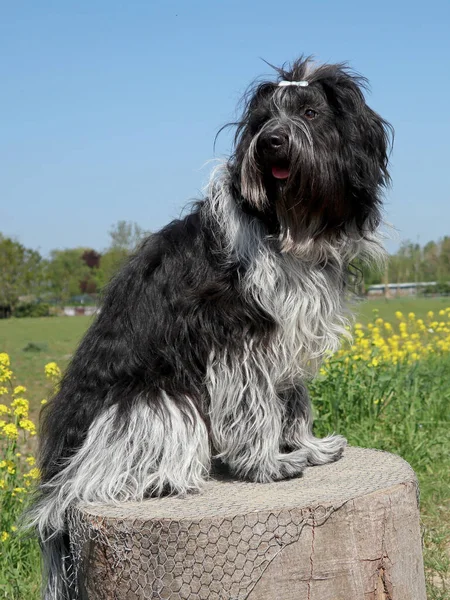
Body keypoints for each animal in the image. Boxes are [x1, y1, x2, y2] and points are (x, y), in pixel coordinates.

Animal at [31, 57, 390, 600]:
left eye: (310, 112)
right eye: (263, 119)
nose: (272, 143)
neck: (284, 223)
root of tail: (55, 480)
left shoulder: (285, 334)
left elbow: (292, 401)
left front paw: (306, 447)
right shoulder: (238, 334)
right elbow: (255, 406)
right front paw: (267, 464)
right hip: (153, 402)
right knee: (106, 475)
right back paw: (160, 480)